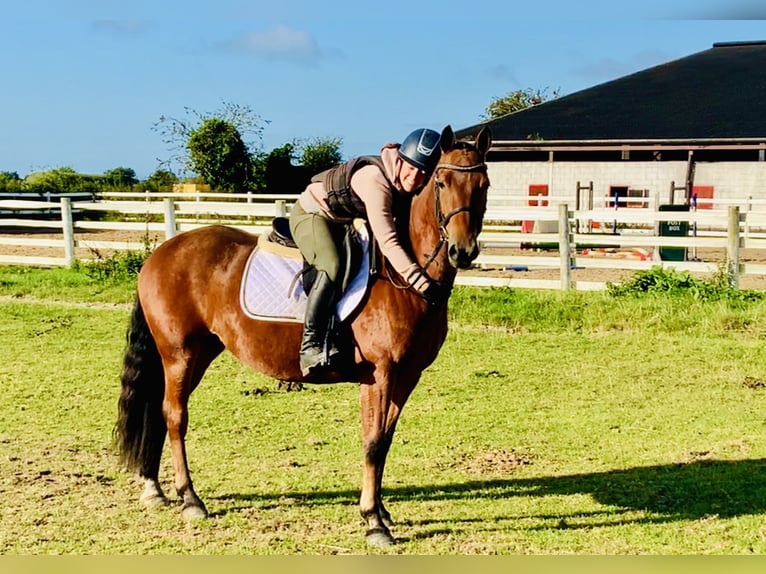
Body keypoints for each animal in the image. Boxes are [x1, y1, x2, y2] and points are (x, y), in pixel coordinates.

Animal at [117, 124, 496, 548]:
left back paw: (155, 488)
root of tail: (161, 252)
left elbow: (383, 440)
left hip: (198, 352)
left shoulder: (406, 375)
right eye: (442, 183)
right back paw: (189, 499)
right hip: (178, 354)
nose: (462, 252)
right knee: (175, 415)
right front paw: (373, 522)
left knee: (162, 411)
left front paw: (379, 511)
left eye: (483, 185)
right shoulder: (381, 374)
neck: (404, 277)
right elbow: (373, 442)